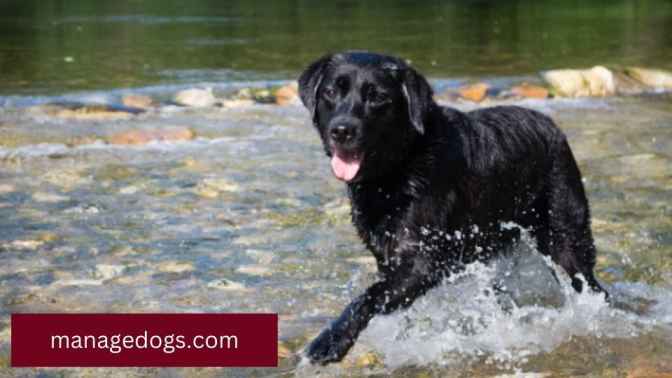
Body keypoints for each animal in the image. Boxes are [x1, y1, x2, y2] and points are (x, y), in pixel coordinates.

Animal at [296, 51, 608, 364]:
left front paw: (330, 341)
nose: (341, 130)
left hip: (565, 238)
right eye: (330, 92)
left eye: (378, 97)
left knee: (591, 285)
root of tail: (552, 126)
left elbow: (368, 297)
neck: (399, 166)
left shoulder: (423, 260)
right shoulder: (388, 256)